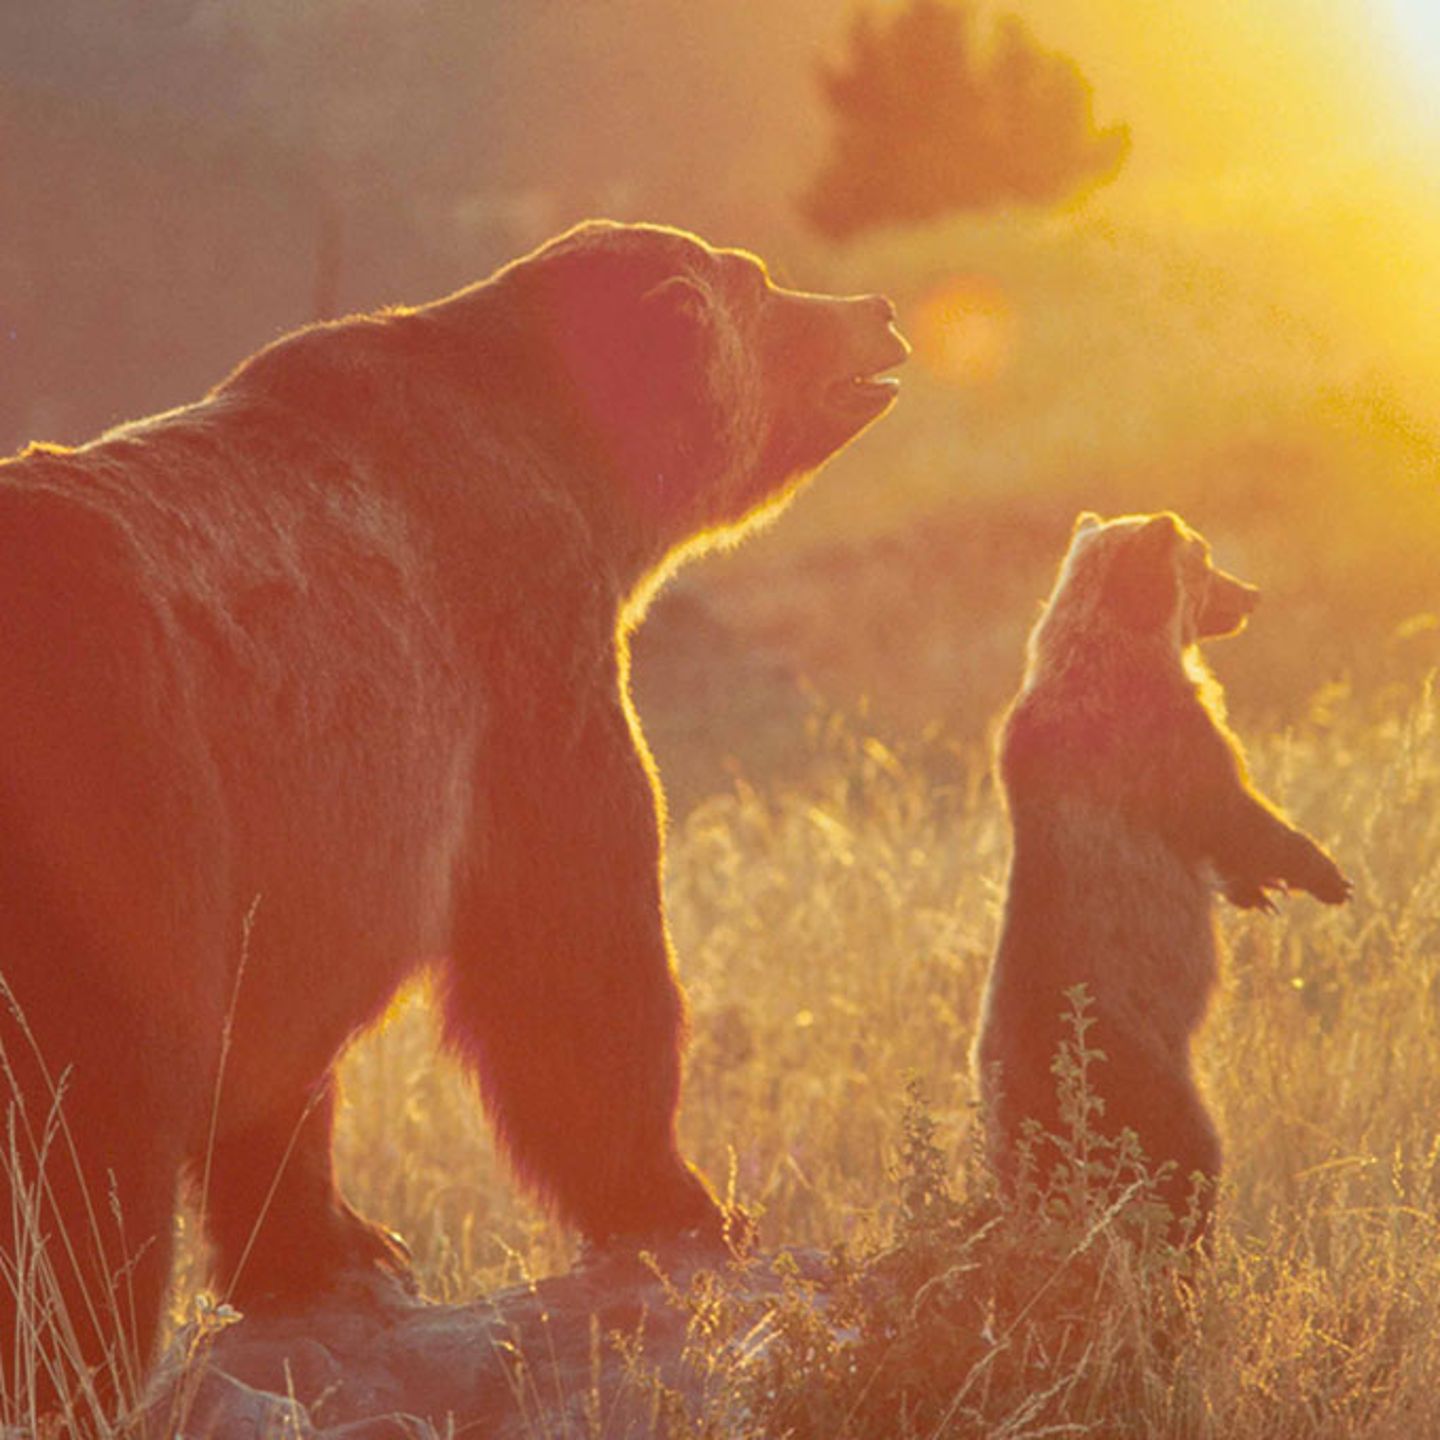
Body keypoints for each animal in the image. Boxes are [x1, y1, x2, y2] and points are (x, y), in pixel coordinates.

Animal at [0, 219, 909, 1407]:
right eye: (759, 286)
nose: (878, 311)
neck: (586, 484)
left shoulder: (303, 858)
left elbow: (281, 1081)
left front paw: (341, 1250)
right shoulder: (514, 670)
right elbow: (573, 949)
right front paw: (690, 1200)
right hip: (116, 786)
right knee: (91, 1135)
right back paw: (76, 1360)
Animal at [973, 510, 1351, 1241]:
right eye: (1203, 559)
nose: (1251, 593)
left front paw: (1256, 893)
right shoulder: (1168, 737)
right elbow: (1229, 810)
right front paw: (1321, 873)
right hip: (1140, 1071)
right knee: (1186, 1154)